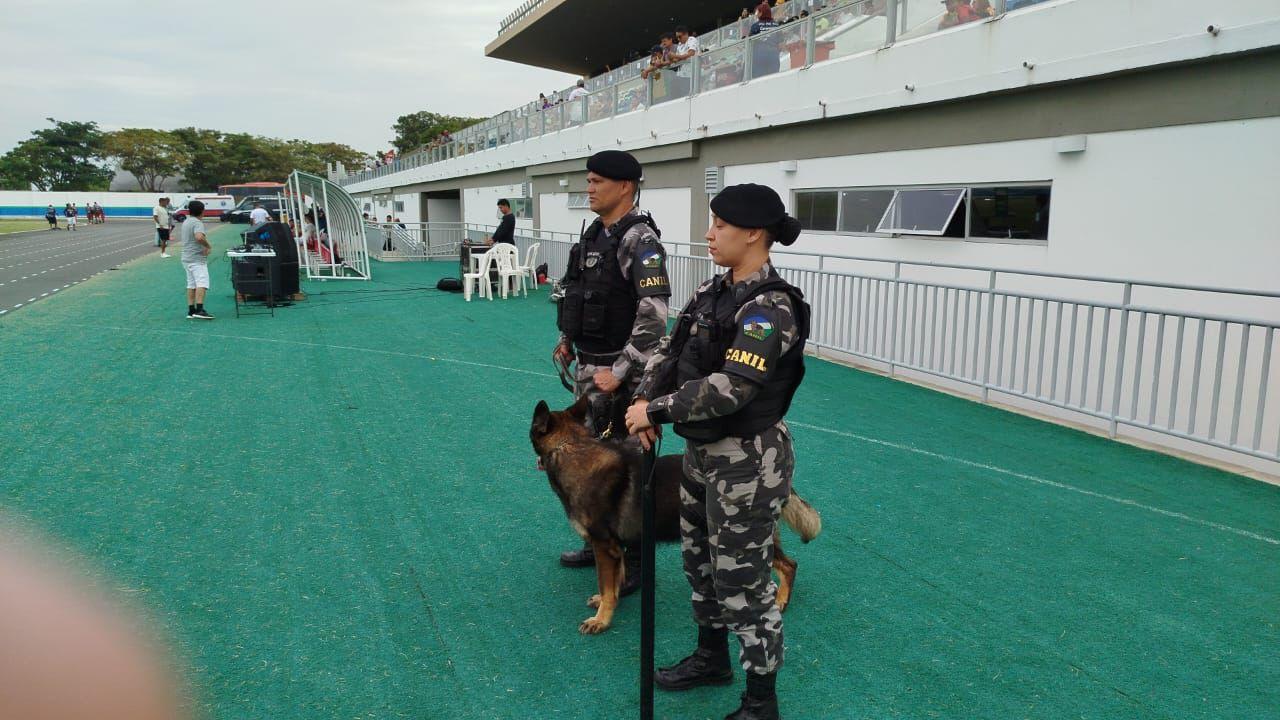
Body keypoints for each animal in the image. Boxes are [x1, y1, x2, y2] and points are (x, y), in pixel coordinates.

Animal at [529, 392, 819, 632]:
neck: (571, 448)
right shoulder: (616, 549)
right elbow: (614, 582)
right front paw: (607, 602)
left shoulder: (604, 546)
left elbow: (606, 583)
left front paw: (601, 620)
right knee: (786, 565)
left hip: (741, 540)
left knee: (788, 566)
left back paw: (781, 600)